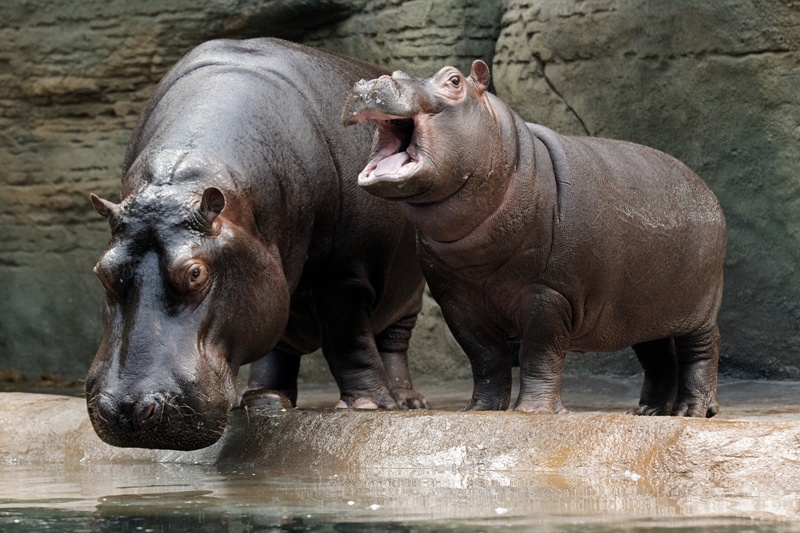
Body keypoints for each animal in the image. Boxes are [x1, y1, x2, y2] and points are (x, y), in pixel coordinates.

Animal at [84, 37, 428, 448]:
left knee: (393, 343)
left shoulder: (344, 275)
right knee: (278, 346)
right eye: (102, 271)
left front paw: (366, 406)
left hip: (407, 295)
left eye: (196, 273)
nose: (128, 410)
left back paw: (408, 400)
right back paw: (265, 397)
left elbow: (349, 340)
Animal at [340, 61, 728, 416]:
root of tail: (708, 192)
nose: (374, 82)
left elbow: (539, 352)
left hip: (700, 307)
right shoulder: (457, 300)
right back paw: (650, 411)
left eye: (453, 80)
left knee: (702, 349)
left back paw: (693, 411)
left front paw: (532, 412)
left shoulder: (550, 293)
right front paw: (480, 410)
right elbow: (485, 358)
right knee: (658, 354)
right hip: (646, 308)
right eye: (396, 71)